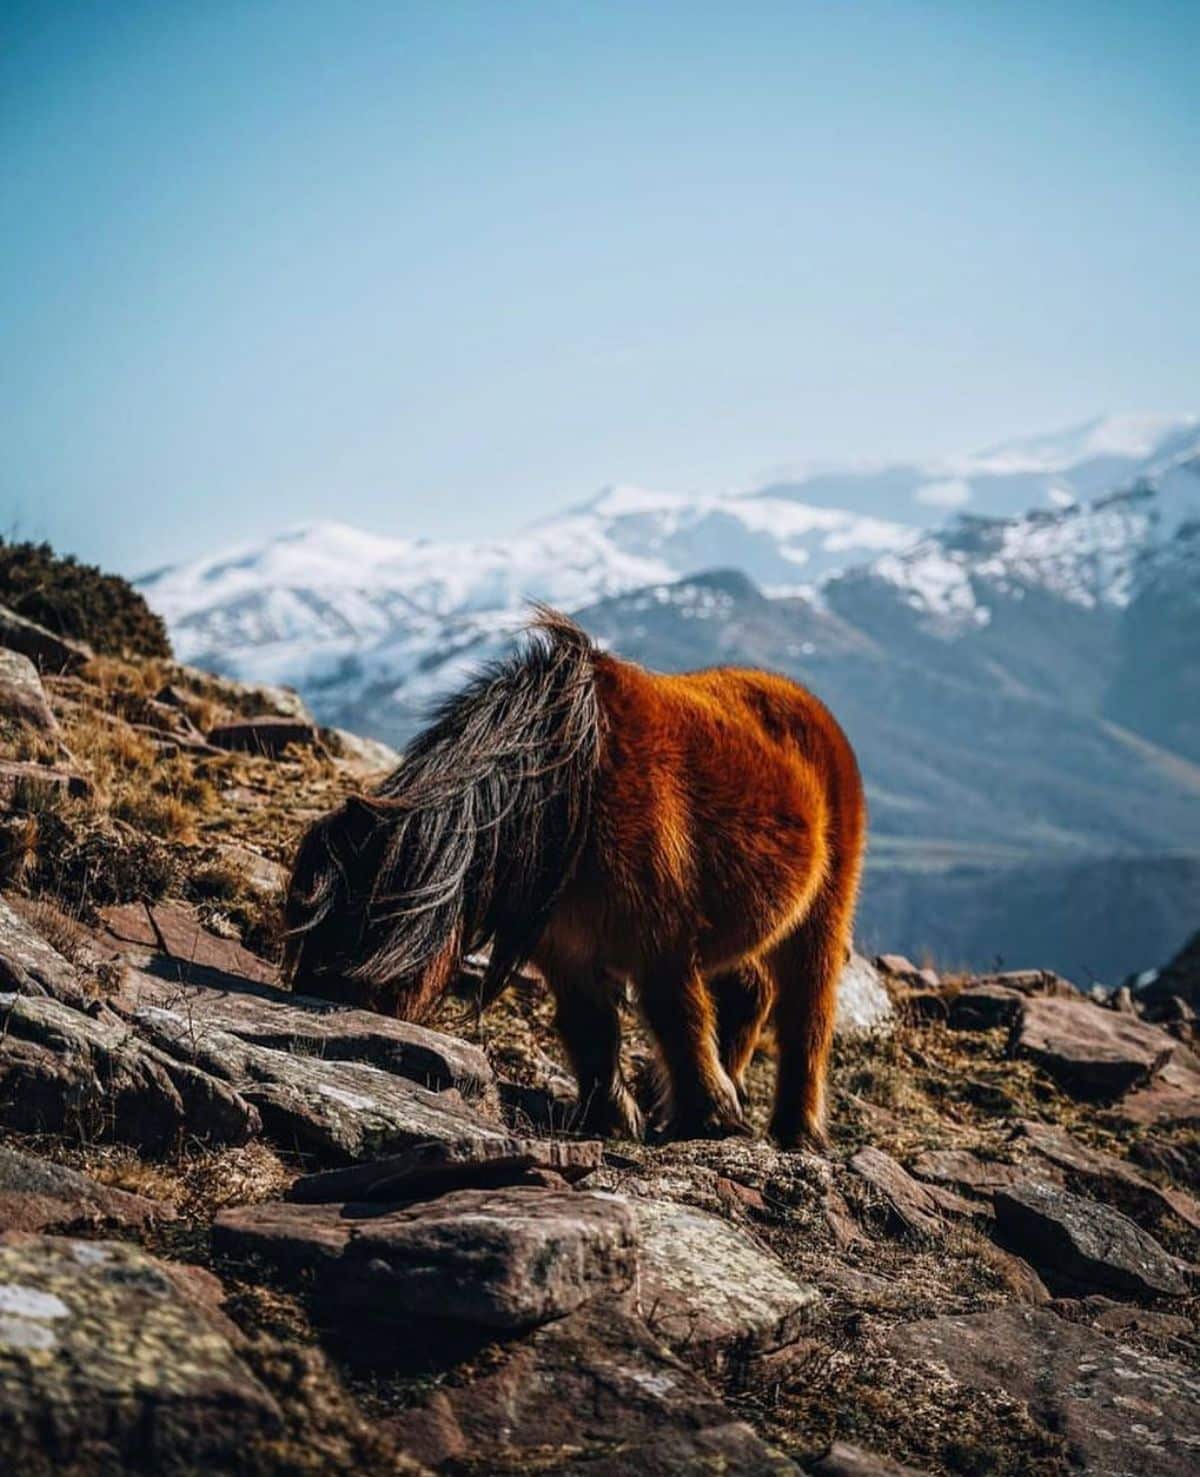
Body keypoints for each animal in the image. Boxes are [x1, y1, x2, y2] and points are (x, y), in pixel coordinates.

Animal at [280, 605, 863, 1146]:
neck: (571, 798)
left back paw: (796, 1130)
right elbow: (592, 1032)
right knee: (750, 993)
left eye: (359, 921)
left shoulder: (664, 947)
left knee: (806, 1019)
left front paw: (706, 1118)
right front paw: (614, 1119)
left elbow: (679, 1021)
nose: (313, 1000)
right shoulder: (566, 951)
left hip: (820, 916)